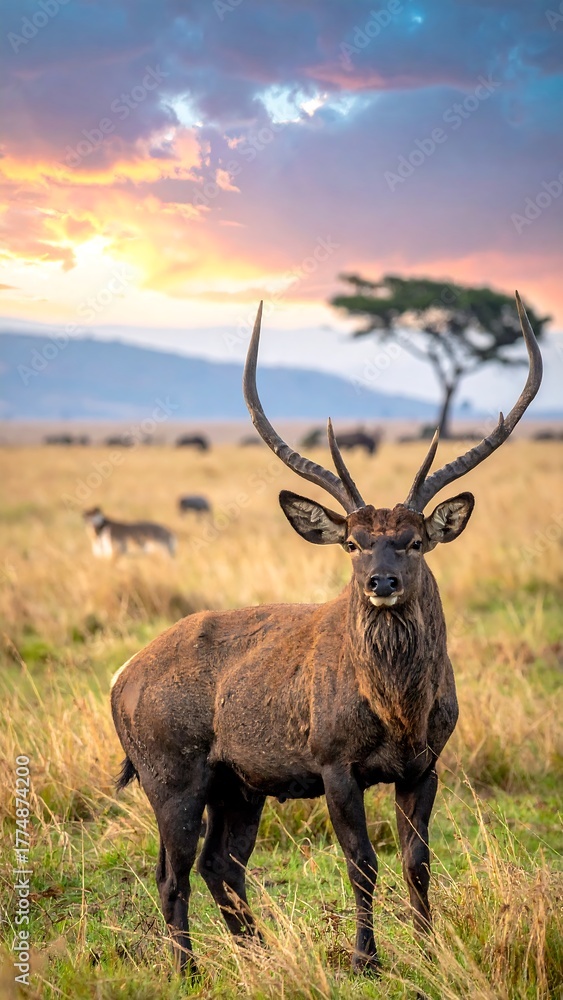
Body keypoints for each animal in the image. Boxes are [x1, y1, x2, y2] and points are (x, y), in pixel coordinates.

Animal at [111, 292, 541, 977]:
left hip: (239, 784)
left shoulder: (427, 765)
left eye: (414, 540)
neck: (399, 710)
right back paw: (188, 969)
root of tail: (121, 676)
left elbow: (418, 862)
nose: (381, 582)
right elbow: (361, 863)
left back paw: (257, 955)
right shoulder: (335, 763)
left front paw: (430, 948)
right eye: (353, 542)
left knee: (219, 864)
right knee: (171, 873)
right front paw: (367, 958)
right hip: (171, 775)